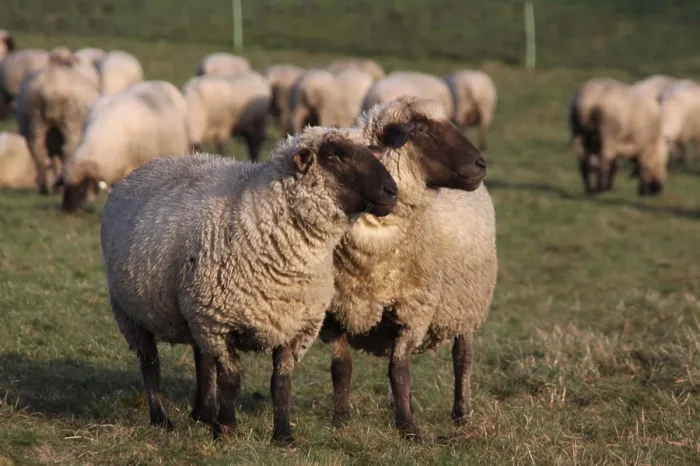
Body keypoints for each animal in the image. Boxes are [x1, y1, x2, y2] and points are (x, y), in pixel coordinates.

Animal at [15, 56, 100, 194]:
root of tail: (52, 91)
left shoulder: (52, 139)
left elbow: (54, 160)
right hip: (71, 122)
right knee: (67, 151)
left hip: (34, 120)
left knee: (39, 152)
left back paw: (44, 188)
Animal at [100, 125, 400, 443]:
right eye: (334, 156)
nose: (391, 192)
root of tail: (147, 166)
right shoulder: (219, 322)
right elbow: (231, 380)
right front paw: (227, 430)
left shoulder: (294, 327)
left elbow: (281, 383)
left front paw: (283, 435)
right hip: (131, 313)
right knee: (150, 364)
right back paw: (162, 418)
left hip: (193, 314)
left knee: (202, 361)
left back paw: (202, 414)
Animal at [313, 96, 493, 441]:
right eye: (420, 129)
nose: (481, 165)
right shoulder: (333, 311)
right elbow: (342, 367)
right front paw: (340, 419)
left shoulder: (414, 307)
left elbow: (399, 370)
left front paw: (408, 428)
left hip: (466, 302)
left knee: (462, 359)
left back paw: (461, 414)